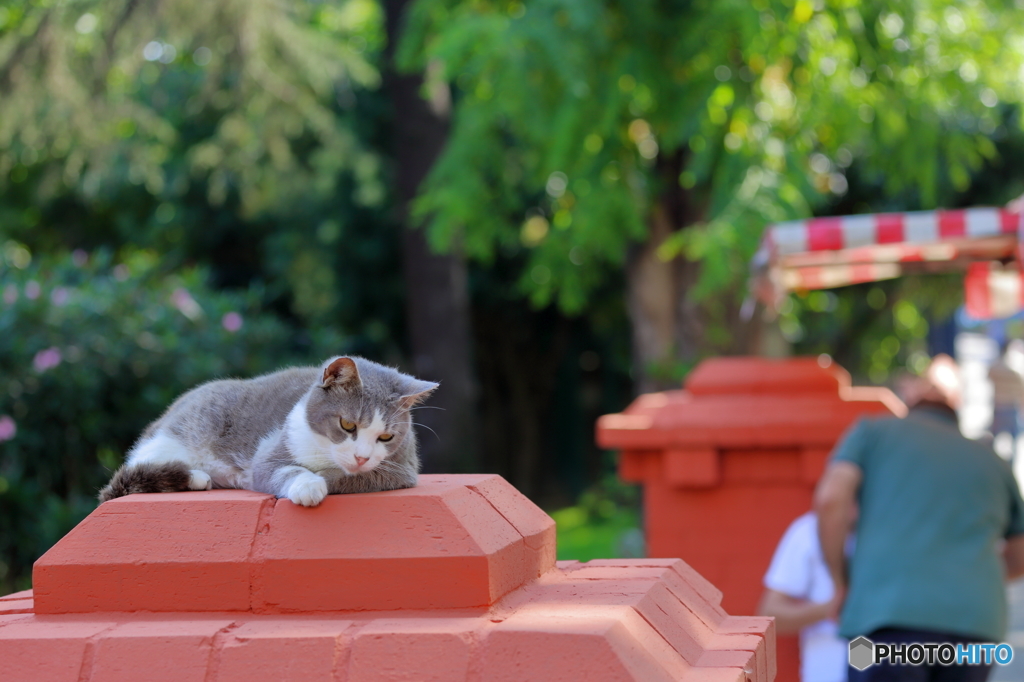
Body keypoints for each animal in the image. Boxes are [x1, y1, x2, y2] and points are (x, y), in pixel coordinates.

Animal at [97, 356, 442, 503]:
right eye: (348, 425)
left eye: (386, 436)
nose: (361, 457)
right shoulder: (270, 452)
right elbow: (280, 469)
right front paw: (308, 486)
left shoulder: (401, 470)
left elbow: (349, 477)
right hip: (176, 438)